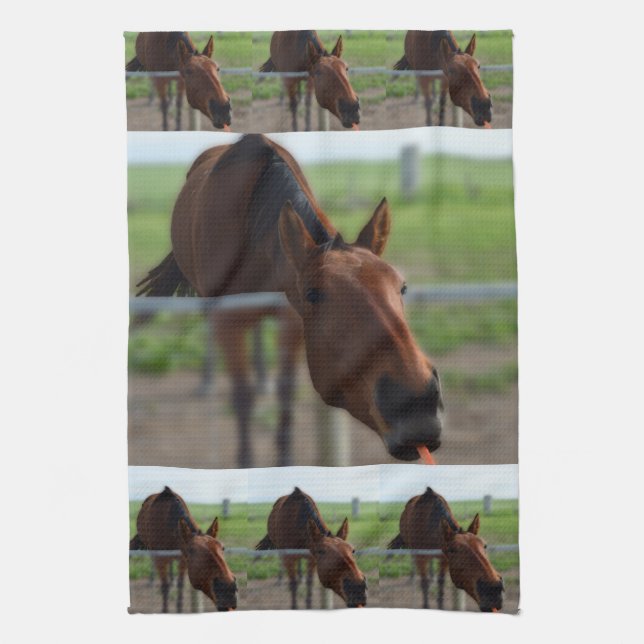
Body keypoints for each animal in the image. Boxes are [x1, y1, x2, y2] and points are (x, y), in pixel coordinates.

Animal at [136, 133, 444, 468]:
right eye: (313, 294)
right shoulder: (228, 320)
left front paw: (284, 459)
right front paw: (245, 462)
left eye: (402, 288)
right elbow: (241, 395)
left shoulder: (291, 321)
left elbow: (285, 390)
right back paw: (207, 382)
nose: (419, 405)